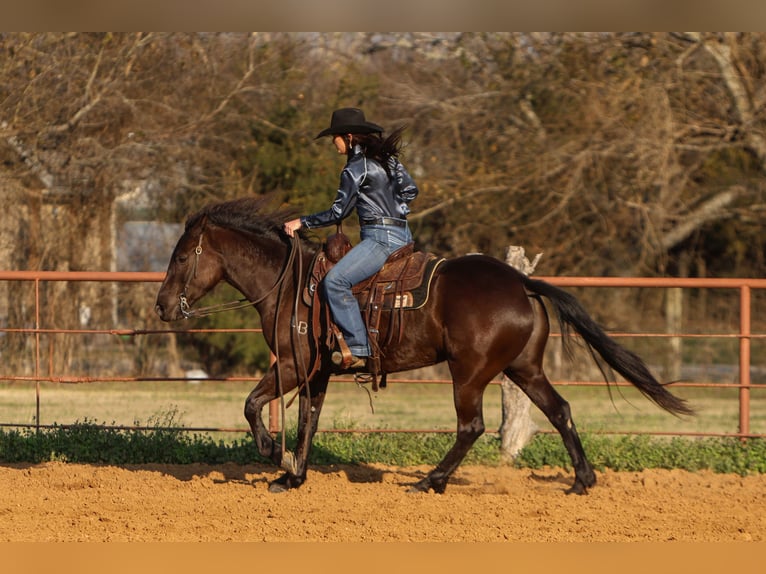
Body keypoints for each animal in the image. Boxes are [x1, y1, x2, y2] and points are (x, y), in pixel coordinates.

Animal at [156, 198, 696, 496]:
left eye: (180, 256)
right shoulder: (317, 373)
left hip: (470, 373)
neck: (291, 286)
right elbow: (308, 421)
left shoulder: (292, 365)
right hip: (523, 368)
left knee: (471, 425)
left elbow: (251, 404)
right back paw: (582, 481)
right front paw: (293, 476)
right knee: (560, 409)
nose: (162, 307)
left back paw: (430, 480)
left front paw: (274, 455)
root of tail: (521, 282)